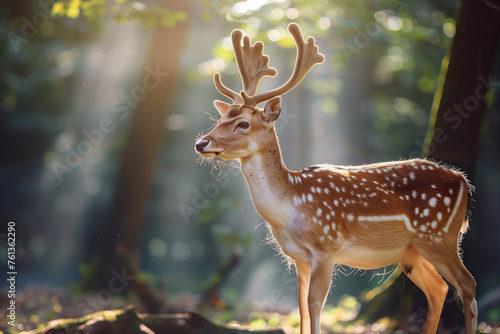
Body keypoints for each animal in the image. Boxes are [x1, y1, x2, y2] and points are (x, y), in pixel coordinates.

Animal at [192, 22, 476, 334]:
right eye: (219, 120)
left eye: (243, 123)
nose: (201, 143)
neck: (290, 206)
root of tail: (463, 181)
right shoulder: (299, 257)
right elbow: (301, 308)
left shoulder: (326, 246)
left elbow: (316, 305)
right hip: (411, 252)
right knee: (439, 288)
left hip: (439, 234)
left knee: (468, 284)